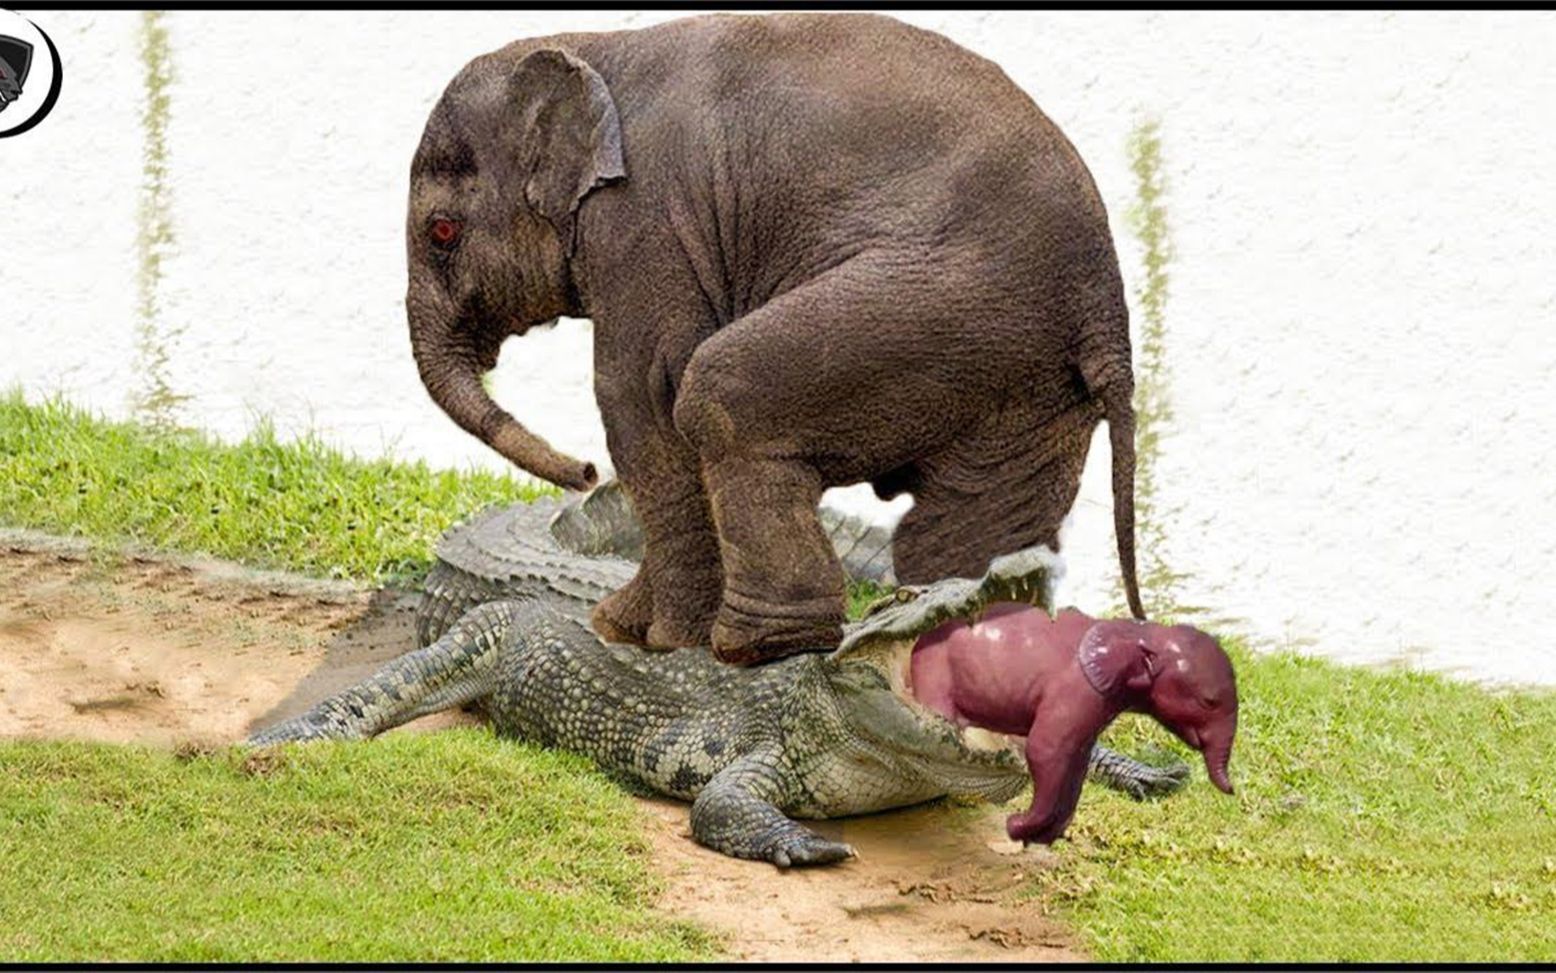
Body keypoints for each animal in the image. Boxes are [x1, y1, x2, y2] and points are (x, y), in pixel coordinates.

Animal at [406, 12, 1144, 666]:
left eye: (442, 232)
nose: (583, 472)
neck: (591, 45)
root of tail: (1106, 306)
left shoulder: (645, 222)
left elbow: (641, 397)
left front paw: (650, 636)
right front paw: (624, 627)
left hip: (940, 306)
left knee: (720, 396)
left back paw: (759, 647)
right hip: (1030, 374)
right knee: (961, 519)